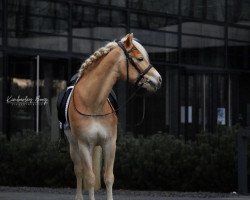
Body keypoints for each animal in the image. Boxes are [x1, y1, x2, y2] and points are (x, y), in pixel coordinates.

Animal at [64, 33, 162, 200]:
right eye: (140, 58)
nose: (159, 79)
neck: (93, 104)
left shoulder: (110, 143)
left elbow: (109, 177)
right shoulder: (84, 144)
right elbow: (89, 178)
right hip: (74, 144)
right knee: (79, 169)